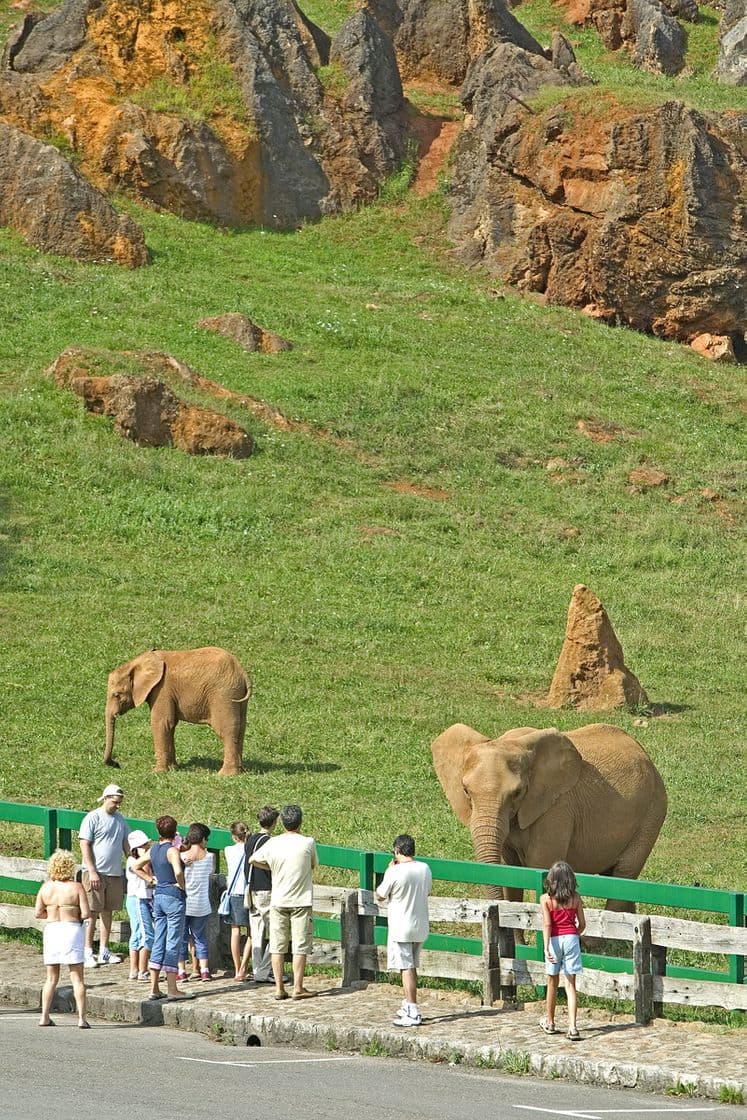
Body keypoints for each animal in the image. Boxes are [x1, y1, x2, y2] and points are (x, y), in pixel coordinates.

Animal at [103, 645, 253, 775]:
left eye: (116, 695)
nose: (116, 764)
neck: (137, 663)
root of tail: (242, 672)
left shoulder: (162, 689)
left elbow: (161, 723)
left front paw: (158, 772)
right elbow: (170, 725)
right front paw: (173, 769)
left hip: (223, 694)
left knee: (226, 729)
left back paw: (225, 775)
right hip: (236, 695)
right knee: (241, 728)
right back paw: (240, 772)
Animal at [430, 721, 667, 904]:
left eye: (517, 793)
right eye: (465, 791)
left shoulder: (556, 811)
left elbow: (540, 868)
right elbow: (509, 872)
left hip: (653, 811)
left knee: (624, 876)